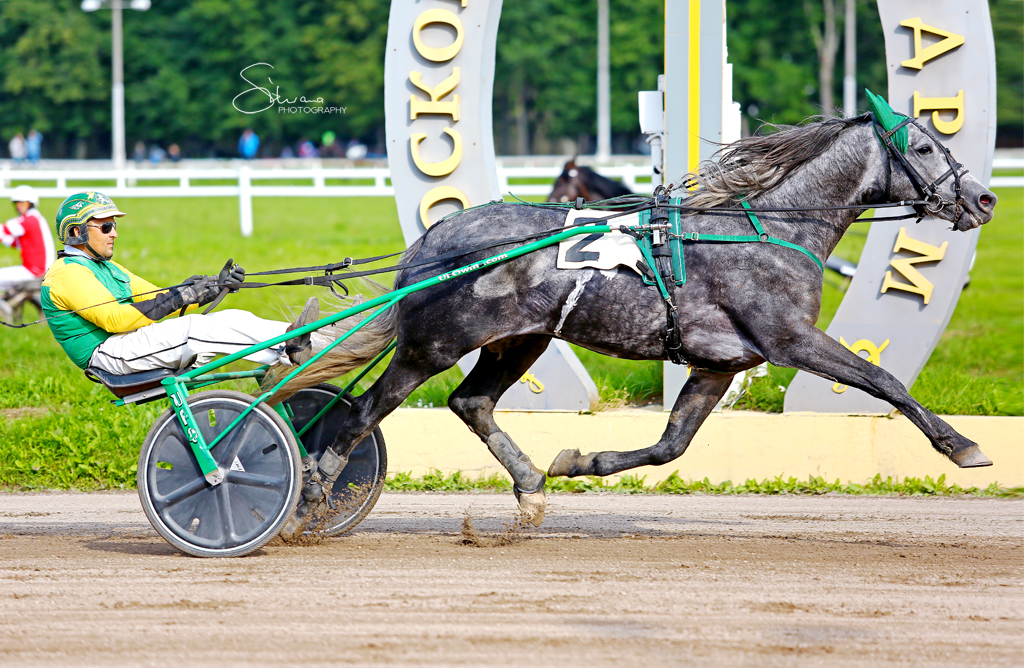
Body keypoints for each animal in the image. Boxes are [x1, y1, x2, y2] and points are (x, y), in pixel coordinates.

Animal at [284, 105, 995, 532]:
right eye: (924, 147)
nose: (985, 198)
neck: (764, 230)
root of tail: (432, 240)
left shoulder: (719, 362)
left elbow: (670, 446)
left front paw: (577, 461)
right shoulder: (789, 340)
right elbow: (885, 381)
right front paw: (963, 446)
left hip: (519, 341)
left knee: (472, 402)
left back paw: (532, 485)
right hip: (431, 345)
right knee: (362, 412)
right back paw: (312, 498)